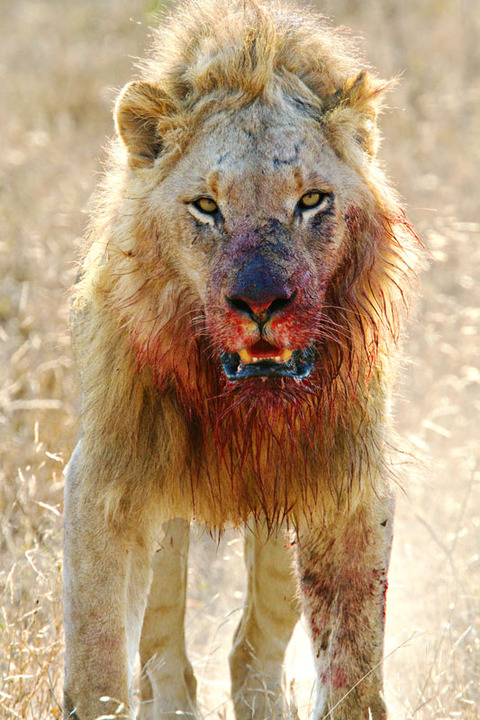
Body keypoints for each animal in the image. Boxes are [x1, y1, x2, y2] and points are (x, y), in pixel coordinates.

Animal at [63, 1, 420, 719]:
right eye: (207, 206)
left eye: (311, 200)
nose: (260, 302)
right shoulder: (106, 486)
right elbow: (98, 663)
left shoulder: (345, 487)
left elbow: (353, 663)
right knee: (164, 653)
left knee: (251, 646)